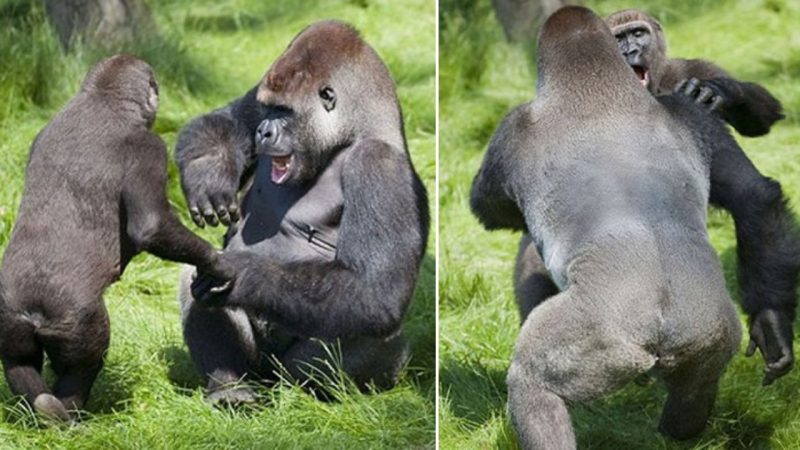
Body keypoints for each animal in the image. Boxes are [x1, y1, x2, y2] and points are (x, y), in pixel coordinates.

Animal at [0, 55, 236, 422]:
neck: (101, 100)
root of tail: (32, 311)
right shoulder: (150, 148)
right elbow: (152, 226)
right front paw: (217, 264)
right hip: (77, 321)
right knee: (85, 362)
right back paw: (68, 416)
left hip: (9, 316)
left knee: (18, 361)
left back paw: (44, 410)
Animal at [173, 20, 428, 404]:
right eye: (268, 109)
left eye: (285, 112)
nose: (263, 131)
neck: (353, 133)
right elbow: (224, 118)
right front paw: (209, 170)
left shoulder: (380, 166)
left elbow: (375, 290)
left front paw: (242, 273)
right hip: (257, 368)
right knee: (193, 273)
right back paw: (229, 385)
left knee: (368, 326)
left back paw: (306, 395)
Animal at [472, 6, 748, 446]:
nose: (632, 50)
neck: (597, 84)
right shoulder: (690, 116)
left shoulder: (511, 128)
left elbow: (489, 209)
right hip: (711, 331)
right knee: (698, 384)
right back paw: (677, 432)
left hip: (602, 336)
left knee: (533, 383)